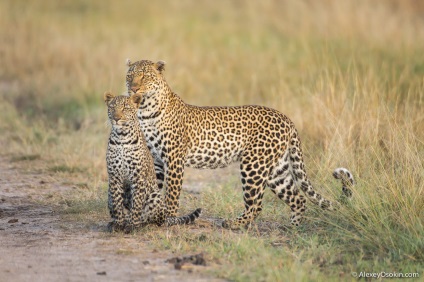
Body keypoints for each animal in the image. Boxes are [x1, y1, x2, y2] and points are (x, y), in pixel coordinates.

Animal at [104, 91, 200, 232]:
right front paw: (118, 224)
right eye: (112, 107)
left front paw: (133, 226)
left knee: (156, 219)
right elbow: (117, 204)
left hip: (154, 196)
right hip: (109, 194)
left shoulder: (138, 177)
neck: (122, 138)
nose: (117, 118)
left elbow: (137, 204)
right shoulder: (114, 176)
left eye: (125, 108)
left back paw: (143, 224)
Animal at [125, 59, 354, 229]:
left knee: (256, 205)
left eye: (145, 76)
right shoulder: (156, 160)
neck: (145, 110)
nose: (133, 88)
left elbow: (172, 194)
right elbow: (155, 189)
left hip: (253, 165)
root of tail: (287, 119)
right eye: (129, 76)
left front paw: (170, 219)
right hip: (277, 170)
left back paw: (234, 223)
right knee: (298, 198)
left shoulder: (174, 160)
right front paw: (152, 216)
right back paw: (293, 228)